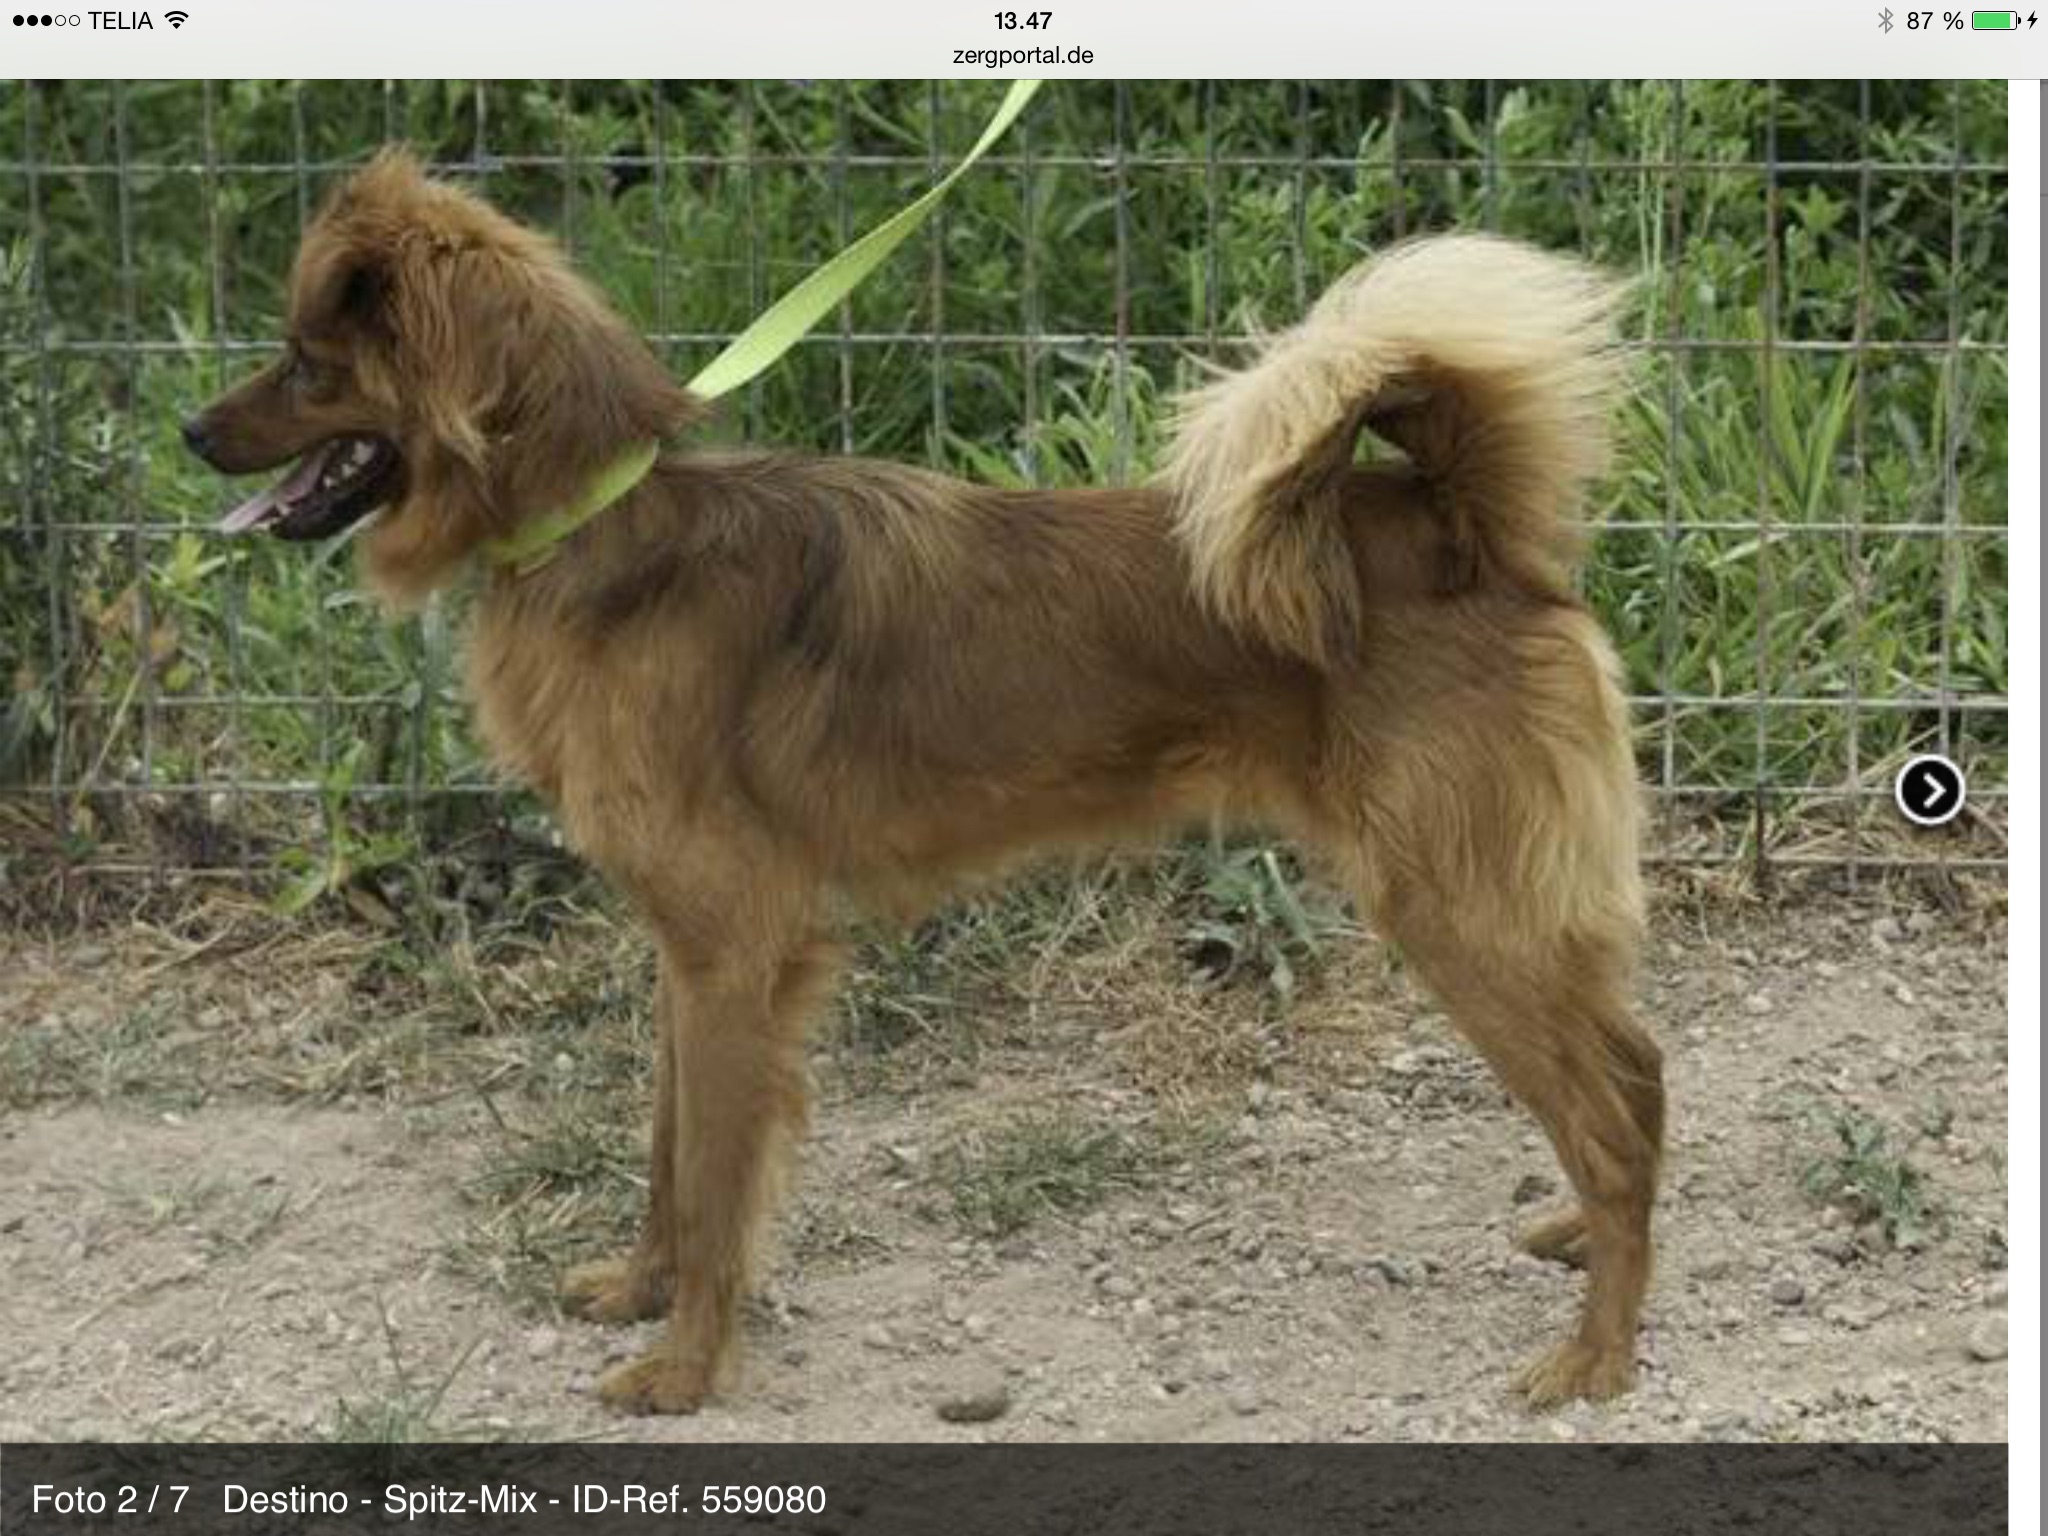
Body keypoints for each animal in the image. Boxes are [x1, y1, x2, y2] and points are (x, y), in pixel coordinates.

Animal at [188, 150, 1662, 1417]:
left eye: (306, 364)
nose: (193, 431)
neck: (607, 532)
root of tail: (1466, 531)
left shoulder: (734, 952)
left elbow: (716, 1181)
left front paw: (684, 1370)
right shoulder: (688, 953)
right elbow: (669, 1154)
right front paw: (642, 1293)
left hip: (1453, 910)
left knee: (1612, 1118)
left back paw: (1595, 1357)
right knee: (1634, 1074)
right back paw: (1574, 1242)